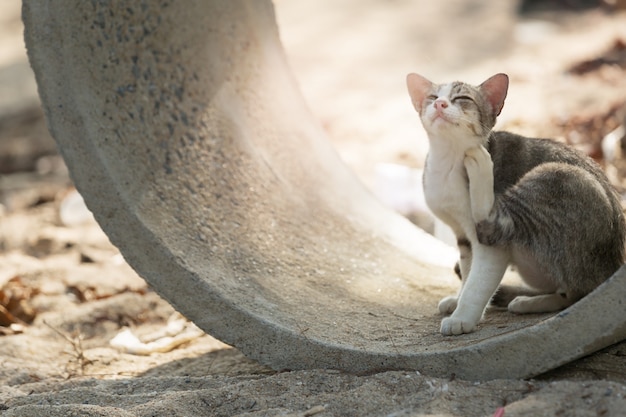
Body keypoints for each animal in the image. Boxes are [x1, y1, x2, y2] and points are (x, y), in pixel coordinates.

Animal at [404, 72, 624, 334]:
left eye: (462, 98)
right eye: (433, 97)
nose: (440, 104)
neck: (447, 160)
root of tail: (612, 267)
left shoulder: (489, 247)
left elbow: (477, 281)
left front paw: (462, 317)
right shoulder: (463, 237)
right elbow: (468, 271)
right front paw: (458, 300)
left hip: (555, 174)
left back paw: (481, 164)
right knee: (572, 294)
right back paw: (529, 302)